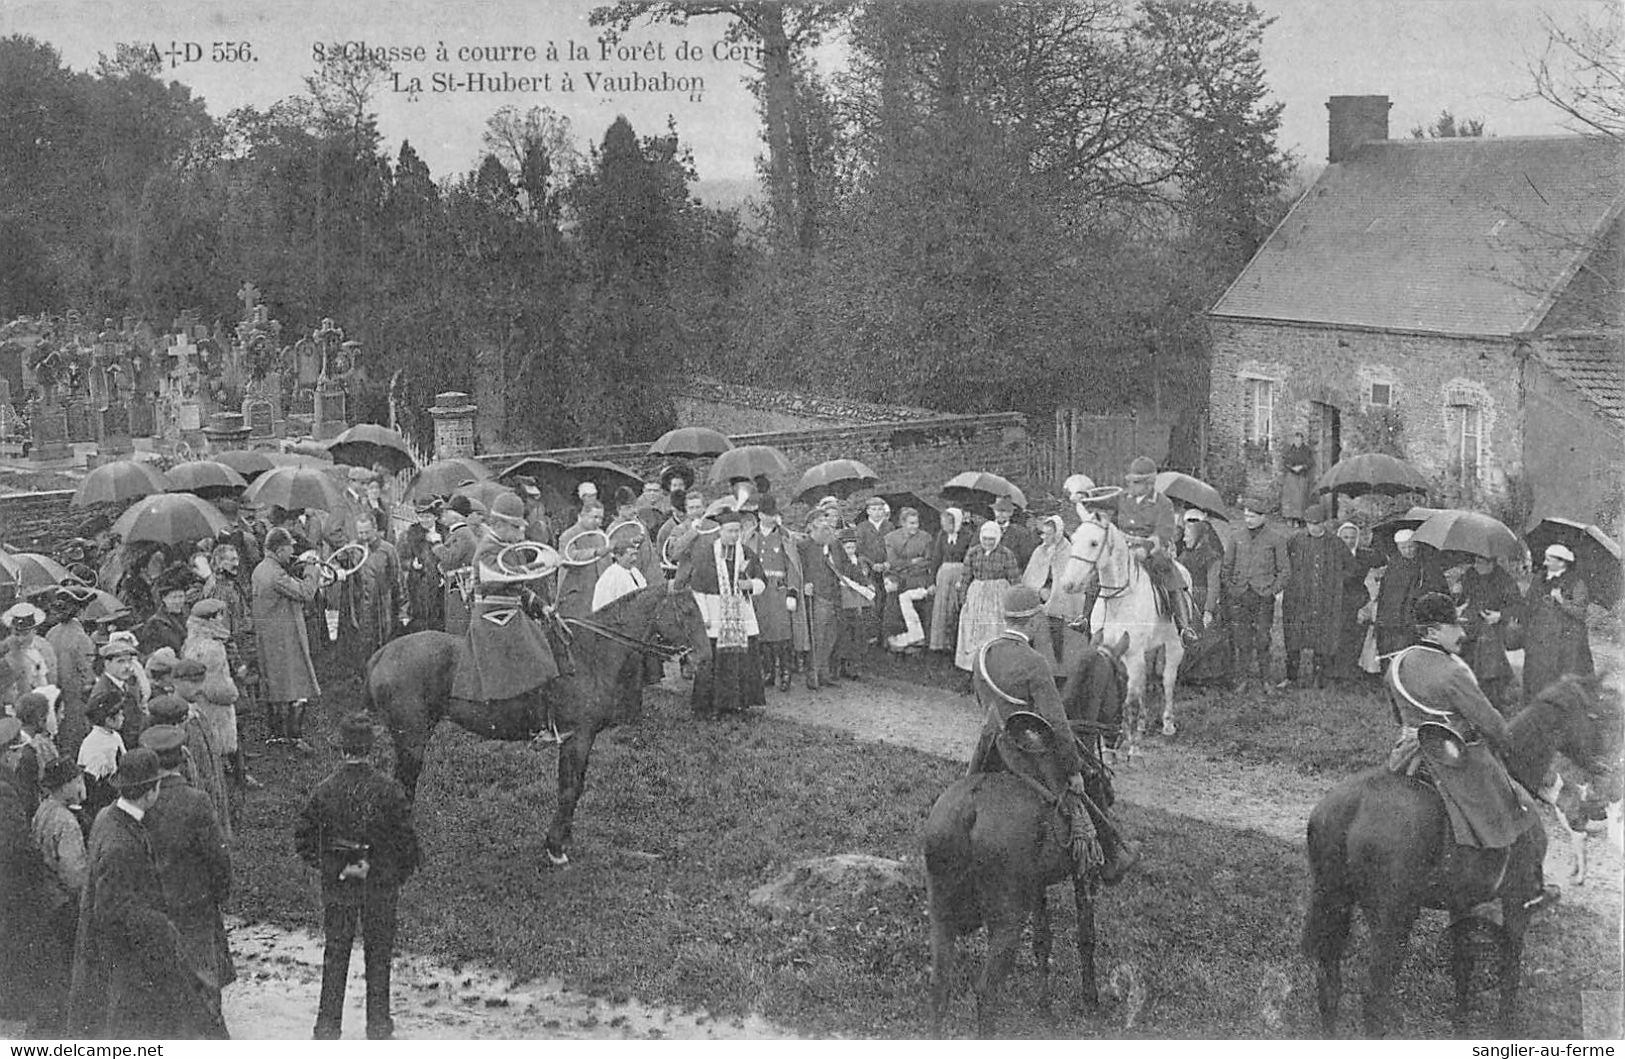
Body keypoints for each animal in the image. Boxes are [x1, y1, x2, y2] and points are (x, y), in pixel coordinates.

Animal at [368, 587, 711, 870]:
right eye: (687, 612)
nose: (703, 660)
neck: (589, 654)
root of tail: (383, 653)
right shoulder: (577, 737)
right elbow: (569, 789)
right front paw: (555, 847)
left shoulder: (581, 739)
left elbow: (575, 787)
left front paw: (564, 839)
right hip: (411, 740)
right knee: (404, 787)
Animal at [923, 633, 1124, 1039]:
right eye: (1123, 679)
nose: (1118, 729)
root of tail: (970, 809)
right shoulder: (1083, 872)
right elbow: (1086, 935)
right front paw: (1090, 999)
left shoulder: (1036, 885)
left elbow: (1044, 940)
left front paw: (1045, 1005)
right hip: (1007, 920)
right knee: (985, 993)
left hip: (942, 912)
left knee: (940, 984)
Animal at [1066, 516, 1196, 756]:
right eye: (1074, 538)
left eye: (1094, 543)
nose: (1067, 583)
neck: (1119, 600)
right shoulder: (1108, 648)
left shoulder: (1133, 654)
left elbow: (1129, 698)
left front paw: (1127, 741)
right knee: (1145, 682)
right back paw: (1143, 723)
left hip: (1174, 646)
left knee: (1167, 680)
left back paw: (1167, 724)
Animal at [1306, 675, 1625, 1039]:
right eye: (1594, 713)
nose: (1605, 766)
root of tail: (1349, 806)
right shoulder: (1517, 901)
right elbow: (1510, 969)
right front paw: (1505, 1028)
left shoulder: (1462, 903)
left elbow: (1463, 966)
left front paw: (1461, 1026)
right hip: (1393, 918)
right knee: (1374, 996)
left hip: (1336, 902)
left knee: (1329, 984)